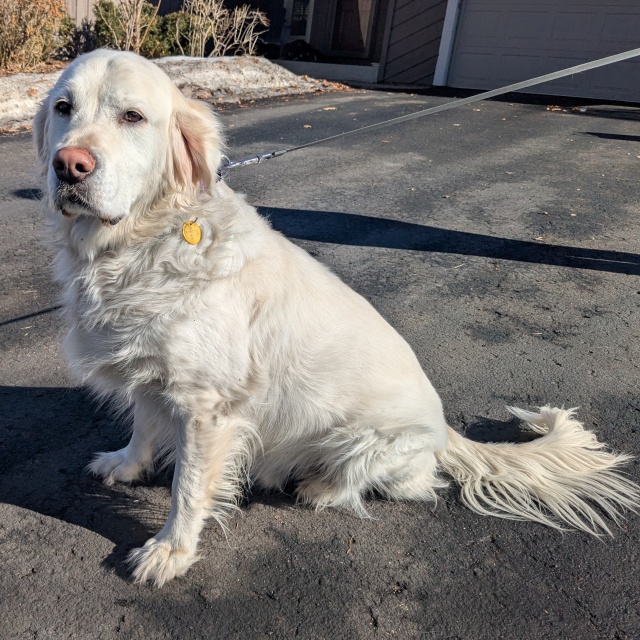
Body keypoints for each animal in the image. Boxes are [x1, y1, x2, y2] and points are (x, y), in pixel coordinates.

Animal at [34, 50, 640, 586]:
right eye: (64, 107)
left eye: (133, 116)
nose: (69, 165)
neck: (137, 245)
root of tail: (443, 427)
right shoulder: (151, 370)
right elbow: (141, 422)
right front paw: (126, 464)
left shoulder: (207, 408)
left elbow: (189, 489)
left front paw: (169, 553)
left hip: (366, 443)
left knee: (411, 483)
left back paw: (321, 487)